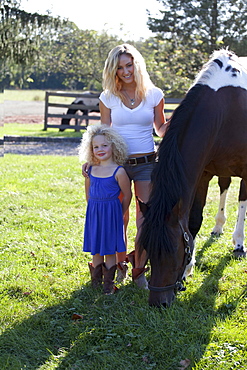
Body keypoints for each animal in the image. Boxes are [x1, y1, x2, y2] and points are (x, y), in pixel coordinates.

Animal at [138, 49, 247, 310]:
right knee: (225, 187)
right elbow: (194, 221)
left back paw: (238, 243)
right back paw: (218, 227)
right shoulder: (203, 173)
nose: (158, 303)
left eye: (173, 251)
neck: (228, 108)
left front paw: (238, 244)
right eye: (148, 250)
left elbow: (242, 202)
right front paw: (189, 269)